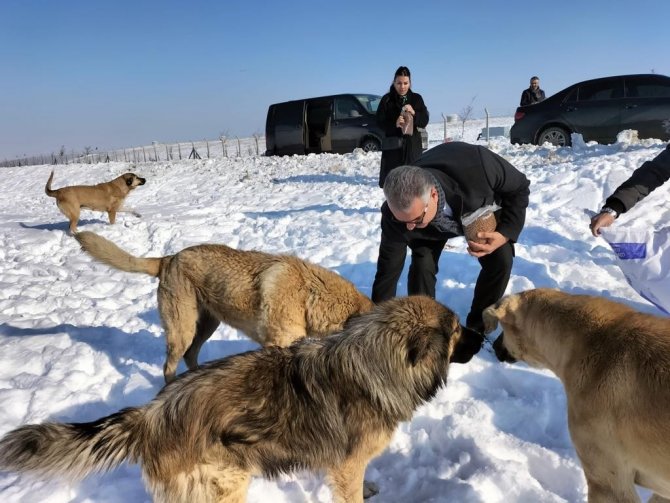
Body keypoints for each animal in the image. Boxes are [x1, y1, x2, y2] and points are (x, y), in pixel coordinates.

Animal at [0, 298, 478, 502]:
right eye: (457, 329)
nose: (483, 333)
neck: (376, 365)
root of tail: (153, 413)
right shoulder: (345, 466)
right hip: (226, 483)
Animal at [77, 231, 378, 382]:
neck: (309, 294)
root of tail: (168, 259)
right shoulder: (274, 345)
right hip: (182, 330)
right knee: (168, 366)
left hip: (207, 325)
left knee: (191, 356)